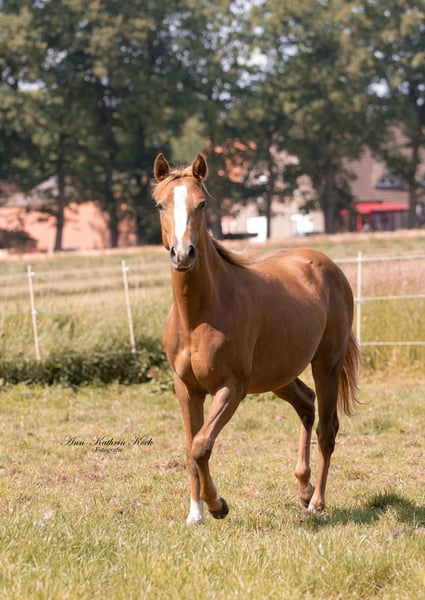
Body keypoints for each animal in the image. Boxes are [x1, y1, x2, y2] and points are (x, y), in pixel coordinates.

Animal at [152, 152, 360, 525]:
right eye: (160, 204)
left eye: (201, 203)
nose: (183, 254)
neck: (199, 317)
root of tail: (327, 266)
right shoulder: (185, 388)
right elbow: (190, 449)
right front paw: (196, 514)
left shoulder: (231, 388)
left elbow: (201, 445)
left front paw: (218, 505)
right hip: (279, 375)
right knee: (306, 405)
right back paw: (303, 487)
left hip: (327, 365)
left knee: (327, 429)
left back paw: (317, 502)